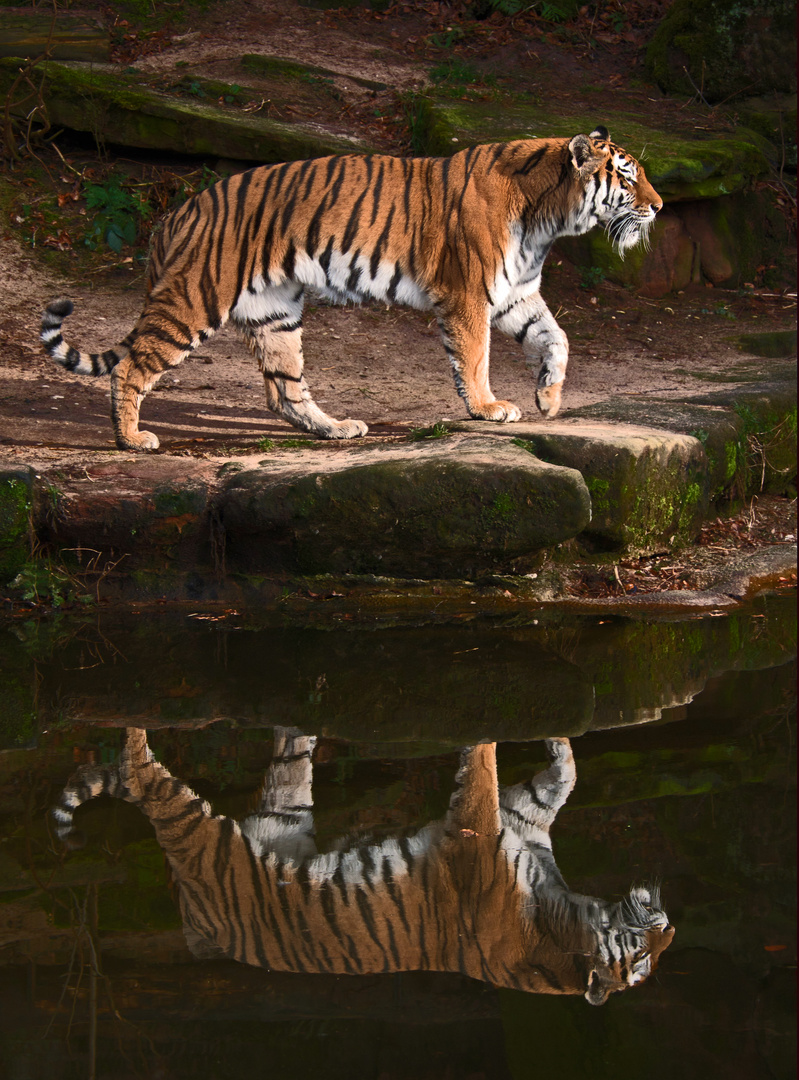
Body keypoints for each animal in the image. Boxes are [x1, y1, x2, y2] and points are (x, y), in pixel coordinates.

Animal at [39, 129, 660, 451]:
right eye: (628, 178)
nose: (658, 207)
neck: (548, 218)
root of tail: (176, 213)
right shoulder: (469, 295)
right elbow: (476, 357)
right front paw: (489, 407)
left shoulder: (514, 293)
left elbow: (556, 337)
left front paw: (548, 397)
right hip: (195, 299)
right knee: (131, 367)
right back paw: (131, 438)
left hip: (276, 312)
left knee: (284, 392)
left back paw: (336, 429)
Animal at [51, 725, 673, 1002]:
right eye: (644, 955)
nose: (668, 925)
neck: (567, 918)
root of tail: (194, 926)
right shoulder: (510, 818)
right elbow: (555, 771)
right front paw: (555, 730)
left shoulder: (489, 828)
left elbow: (507, 769)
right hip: (258, 813)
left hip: (228, 828)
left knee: (145, 774)